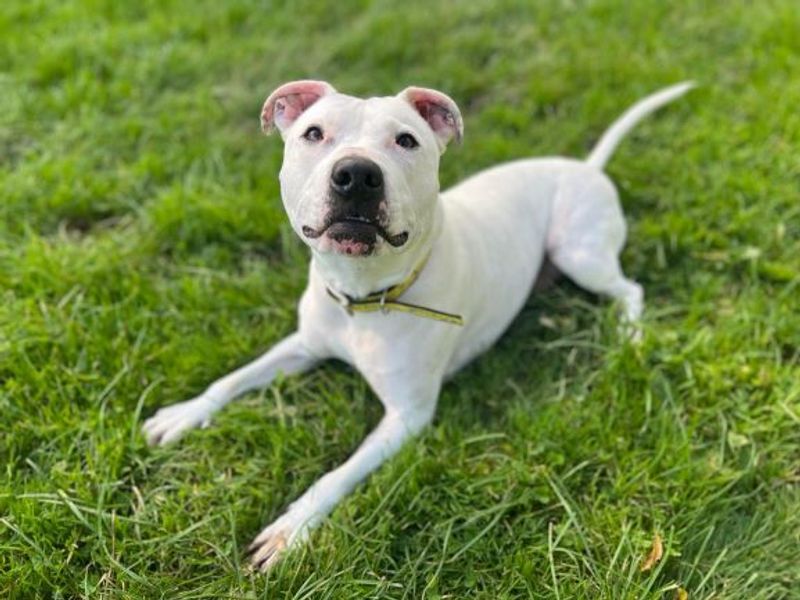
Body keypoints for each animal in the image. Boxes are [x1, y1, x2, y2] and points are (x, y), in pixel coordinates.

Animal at [144, 78, 692, 568]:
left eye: (406, 140)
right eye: (313, 133)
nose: (356, 174)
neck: (362, 297)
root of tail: (586, 166)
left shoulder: (406, 417)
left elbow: (336, 476)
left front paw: (290, 528)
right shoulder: (303, 344)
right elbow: (231, 379)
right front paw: (184, 413)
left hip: (579, 252)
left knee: (630, 289)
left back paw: (630, 336)